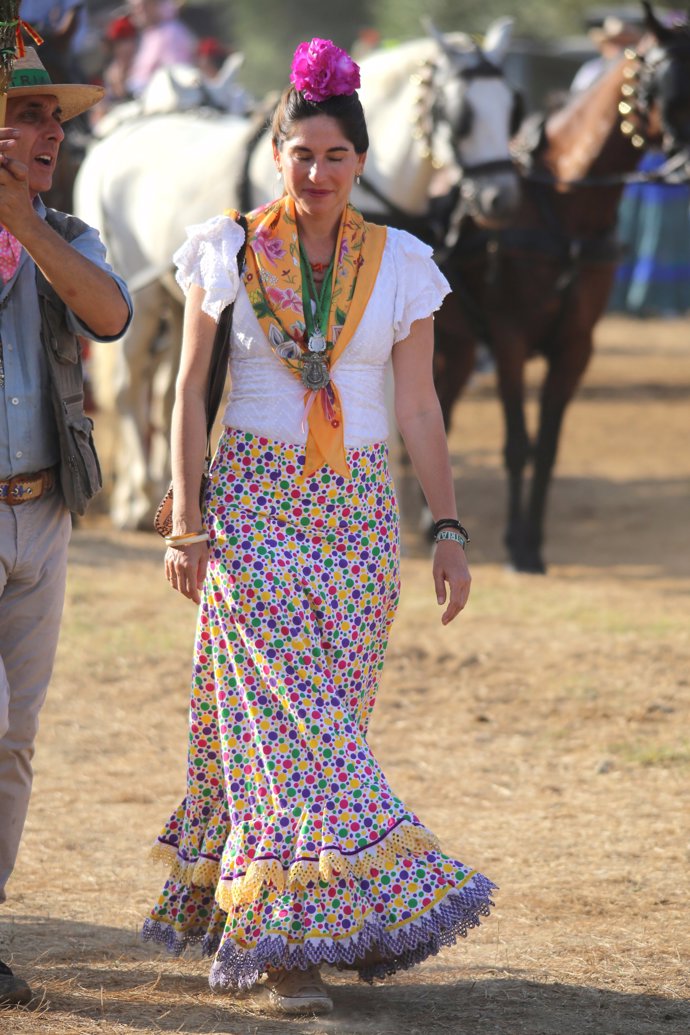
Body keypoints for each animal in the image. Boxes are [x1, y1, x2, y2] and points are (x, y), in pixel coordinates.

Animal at [73, 20, 523, 530]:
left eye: (512, 109)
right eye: (460, 115)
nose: (501, 199)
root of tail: (122, 132)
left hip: (176, 294)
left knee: (167, 389)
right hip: (136, 294)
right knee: (129, 386)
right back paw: (134, 497)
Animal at [434, 1, 690, 573]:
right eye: (657, 85)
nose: (686, 166)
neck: (567, 207)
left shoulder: (575, 345)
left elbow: (548, 448)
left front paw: (533, 542)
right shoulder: (509, 338)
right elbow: (518, 444)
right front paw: (514, 545)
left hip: (458, 344)